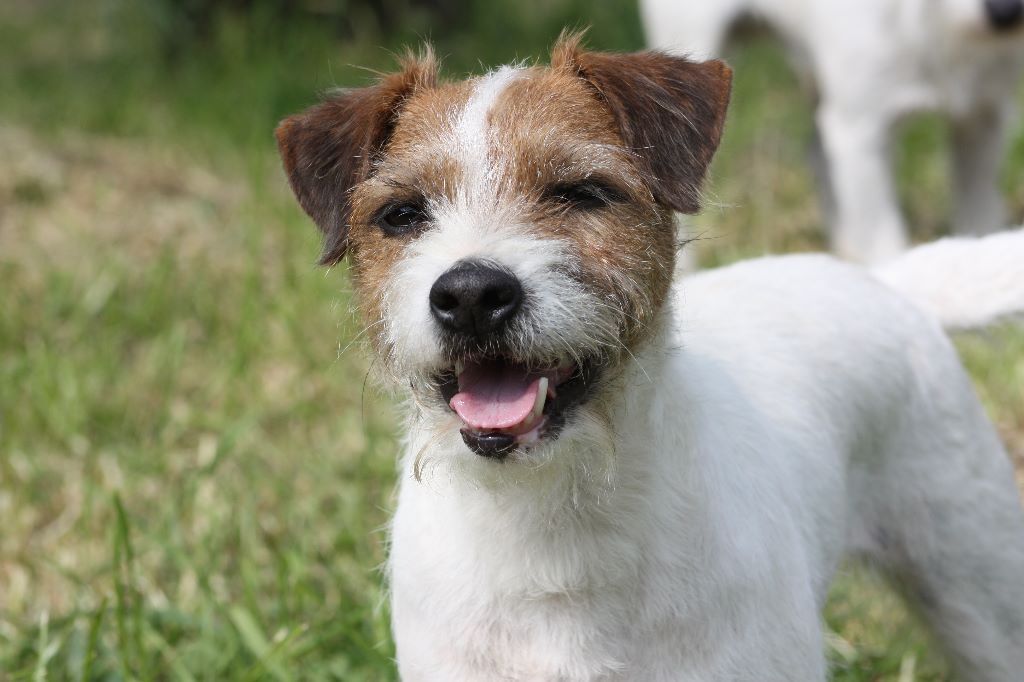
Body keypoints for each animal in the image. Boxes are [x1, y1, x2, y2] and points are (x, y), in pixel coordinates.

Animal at [276, 35, 1024, 679]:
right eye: (402, 214)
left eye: (582, 192)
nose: (470, 294)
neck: (550, 519)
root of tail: (889, 283)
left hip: (980, 596)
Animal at [638, 0, 1024, 262]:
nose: (1005, 13)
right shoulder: (861, 130)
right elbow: (883, 238)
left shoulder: (984, 120)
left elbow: (980, 217)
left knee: (817, 155)